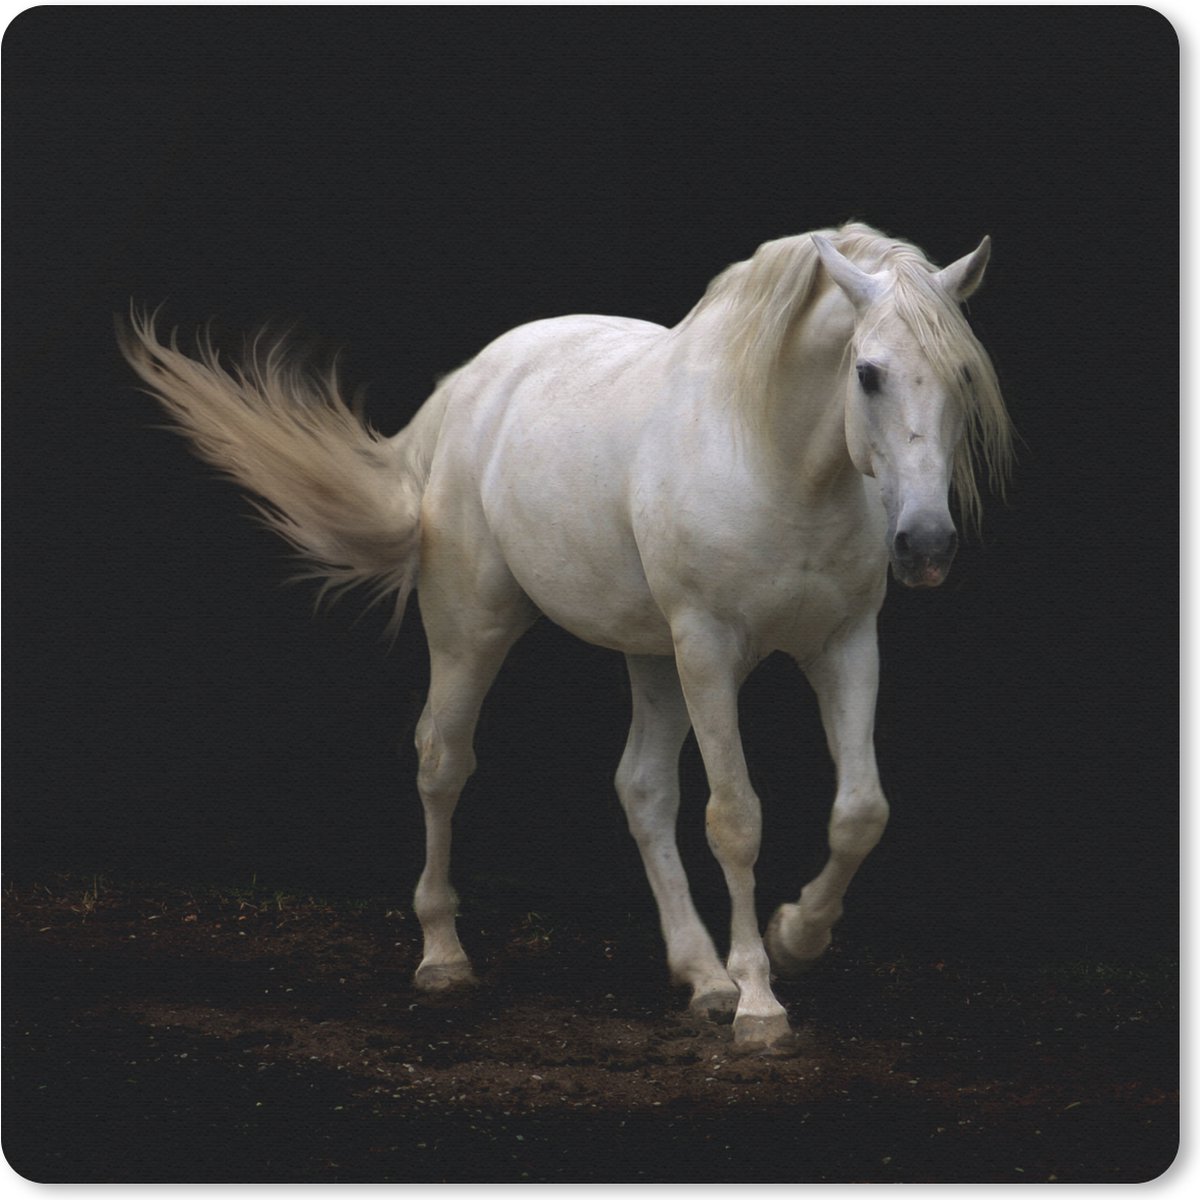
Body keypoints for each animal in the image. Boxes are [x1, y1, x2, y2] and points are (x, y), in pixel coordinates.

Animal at [119, 222, 1013, 1049]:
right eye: (868, 374)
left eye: (965, 376)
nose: (926, 546)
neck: (772, 453)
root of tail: (468, 387)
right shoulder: (709, 650)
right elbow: (736, 818)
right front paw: (761, 1001)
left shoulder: (844, 645)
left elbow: (860, 810)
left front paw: (796, 938)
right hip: (478, 630)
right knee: (444, 762)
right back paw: (444, 954)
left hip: (652, 657)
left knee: (643, 788)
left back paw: (700, 972)